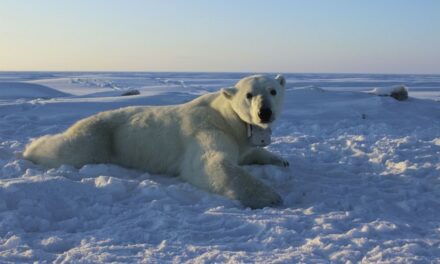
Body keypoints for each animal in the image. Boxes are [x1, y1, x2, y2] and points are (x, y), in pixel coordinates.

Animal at [24, 74, 288, 208]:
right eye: (249, 94)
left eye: (273, 90)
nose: (264, 112)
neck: (226, 117)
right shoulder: (208, 129)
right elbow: (210, 163)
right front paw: (271, 196)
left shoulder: (240, 138)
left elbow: (249, 153)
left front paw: (281, 160)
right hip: (100, 138)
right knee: (68, 149)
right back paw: (30, 149)